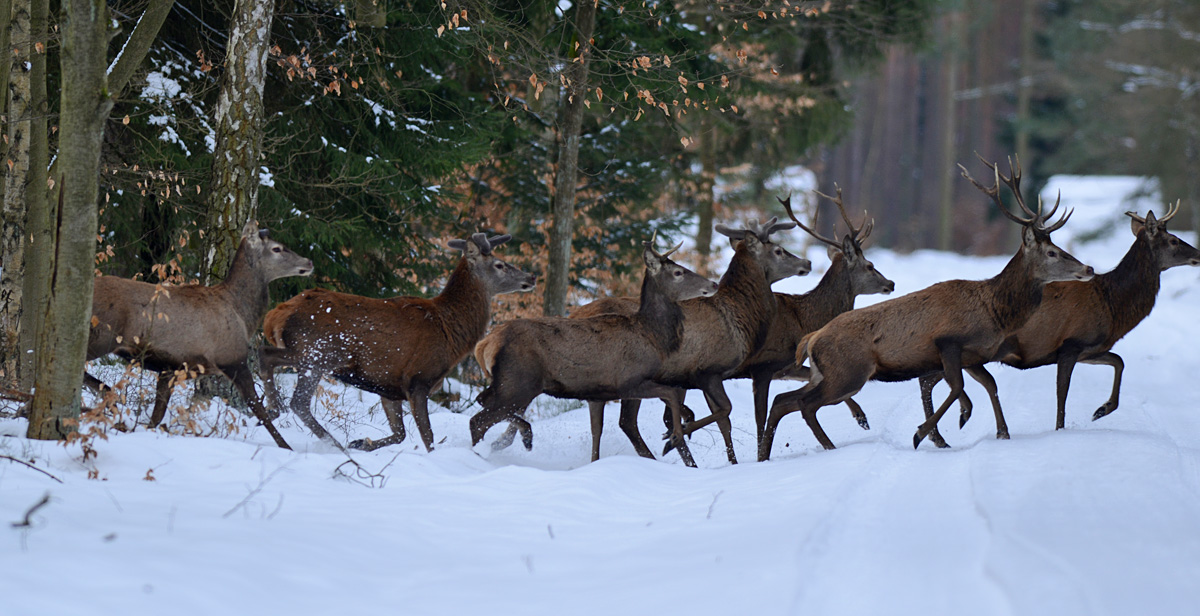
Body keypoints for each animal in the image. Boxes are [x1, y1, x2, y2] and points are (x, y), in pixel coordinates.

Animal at [87, 220, 314, 446]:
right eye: (277, 248)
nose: (309, 262)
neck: (242, 315)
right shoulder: (232, 357)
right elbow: (258, 408)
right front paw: (286, 447)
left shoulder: (171, 369)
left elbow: (156, 418)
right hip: (101, 337)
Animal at [261, 232, 535, 449]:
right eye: (499, 265)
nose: (531, 277)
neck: (451, 332)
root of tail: (275, 315)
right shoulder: (418, 379)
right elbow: (428, 437)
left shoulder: (388, 385)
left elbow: (399, 434)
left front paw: (362, 442)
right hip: (318, 354)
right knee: (288, 388)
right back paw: (314, 432)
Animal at [463, 235, 715, 461]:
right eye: (678, 272)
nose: (712, 284)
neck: (652, 335)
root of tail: (485, 344)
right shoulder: (629, 381)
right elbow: (670, 394)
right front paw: (674, 438)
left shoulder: (599, 393)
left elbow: (598, 431)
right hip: (518, 382)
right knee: (478, 420)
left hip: (508, 383)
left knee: (482, 404)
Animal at [758, 156, 1099, 458]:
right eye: (1052, 253)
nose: (1089, 268)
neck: (994, 311)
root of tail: (811, 338)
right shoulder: (948, 341)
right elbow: (957, 387)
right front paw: (924, 432)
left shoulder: (975, 355)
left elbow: (989, 384)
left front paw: (1001, 431)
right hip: (848, 373)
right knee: (805, 404)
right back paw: (828, 447)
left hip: (827, 374)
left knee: (783, 400)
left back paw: (765, 455)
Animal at [916, 200, 1200, 437]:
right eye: (1174, 240)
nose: (1198, 254)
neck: (1113, 304)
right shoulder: (1071, 343)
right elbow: (1062, 393)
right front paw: (1064, 428)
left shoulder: (1090, 348)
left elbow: (1118, 361)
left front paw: (1102, 409)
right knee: (928, 379)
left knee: (927, 380)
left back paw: (937, 432)